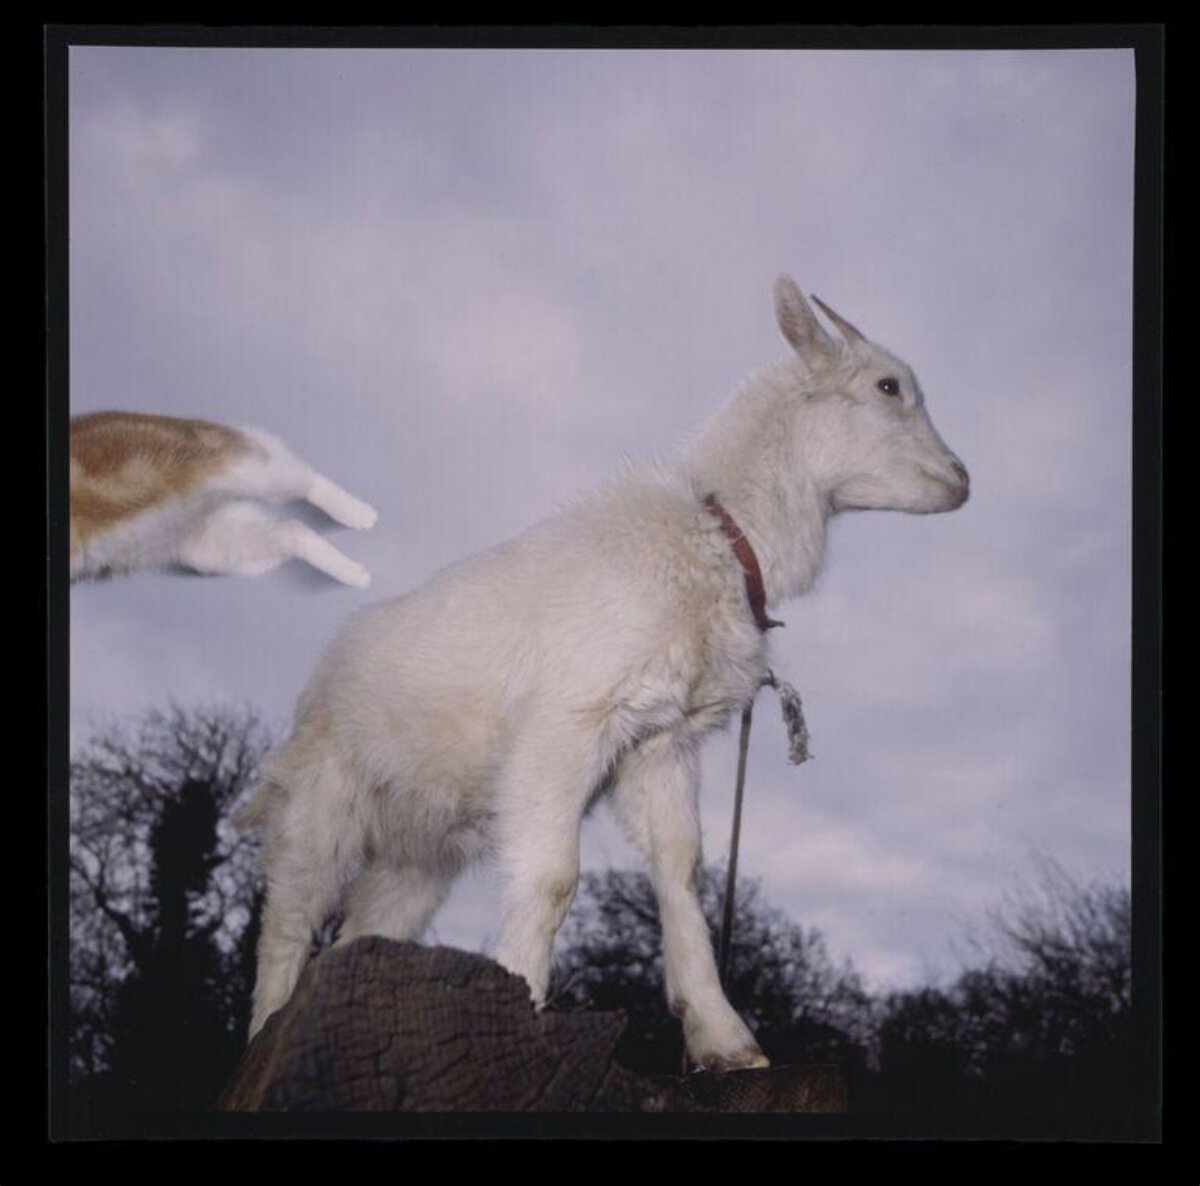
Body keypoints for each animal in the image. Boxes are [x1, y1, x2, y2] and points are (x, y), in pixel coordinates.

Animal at [239, 276, 969, 1070]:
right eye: (889, 386)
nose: (961, 479)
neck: (720, 537)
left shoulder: (661, 741)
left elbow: (681, 870)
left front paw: (723, 1035)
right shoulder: (566, 725)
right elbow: (553, 878)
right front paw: (523, 1008)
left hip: (420, 851)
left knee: (362, 931)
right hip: (319, 802)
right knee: (287, 923)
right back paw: (264, 1032)